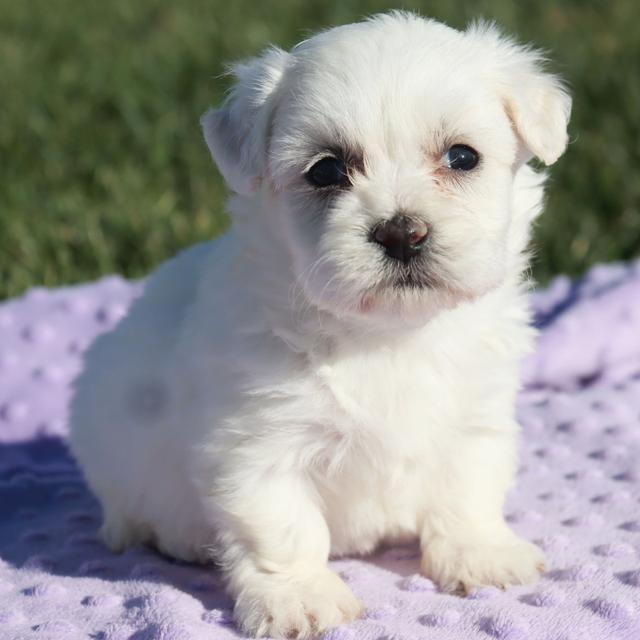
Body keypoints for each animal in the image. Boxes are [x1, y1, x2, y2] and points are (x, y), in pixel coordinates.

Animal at [69, 11, 568, 640]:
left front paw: (482, 556)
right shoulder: (256, 444)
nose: (402, 232)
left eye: (462, 157)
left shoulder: (477, 414)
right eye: (327, 170)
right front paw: (298, 598)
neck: (385, 336)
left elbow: (469, 487)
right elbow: (283, 527)